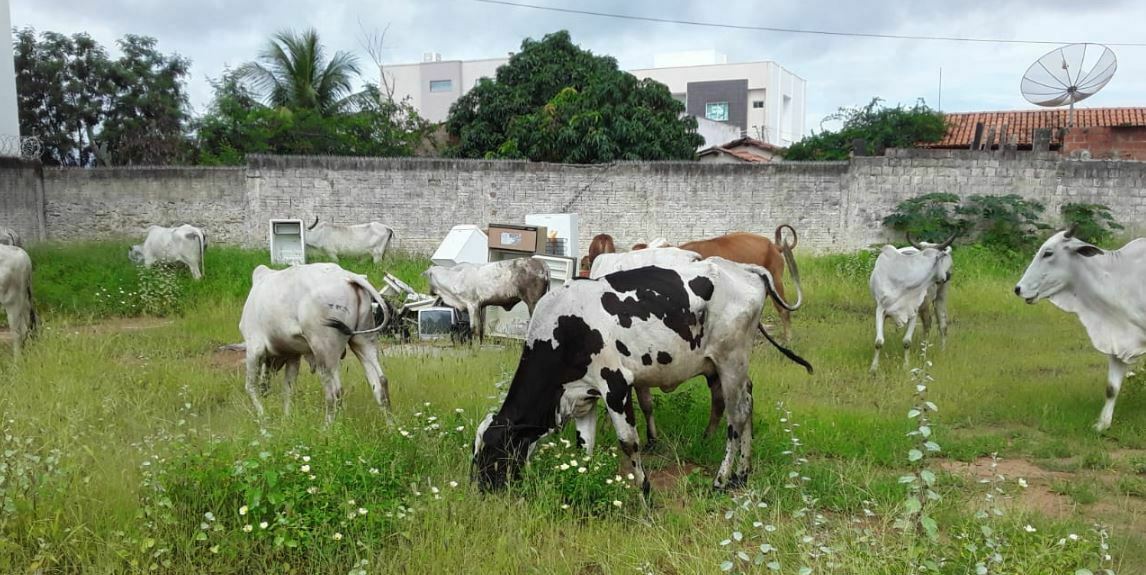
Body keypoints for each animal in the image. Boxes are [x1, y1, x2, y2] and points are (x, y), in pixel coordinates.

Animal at [239, 263, 391, 421]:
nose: (265, 388)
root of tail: (346, 275)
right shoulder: (293, 355)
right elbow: (288, 389)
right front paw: (287, 420)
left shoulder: (254, 348)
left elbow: (250, 387)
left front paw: (263, 421)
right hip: (363, 342)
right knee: (380, 383)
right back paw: (391, 424)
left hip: (324, 351)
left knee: (334, 392)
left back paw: (327, 426)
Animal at [472, 256, 806, 494]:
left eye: (491, 451)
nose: (479, 488)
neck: (562, 330)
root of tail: (745, 269)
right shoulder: (584, 395)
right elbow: (584, 445)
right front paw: (585, 480)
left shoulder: (616, 385)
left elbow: (628, 442)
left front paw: (645, 492)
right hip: (732, 368)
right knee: (747, 406)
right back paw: (742, 474)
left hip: (730, 362)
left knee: (736, 417)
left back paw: (722, 480)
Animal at [866, 233, 958, 373]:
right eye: (940, 259)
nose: (948, 275)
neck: (903, 280)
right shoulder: (880, 309)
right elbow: (879, 342)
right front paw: (873, 368)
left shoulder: (913, 311)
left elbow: (907, 342)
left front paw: (906, 366)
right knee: (927, 324)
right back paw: (923, 351)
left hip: (941, 296)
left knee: (942, 325)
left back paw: (940, 352)